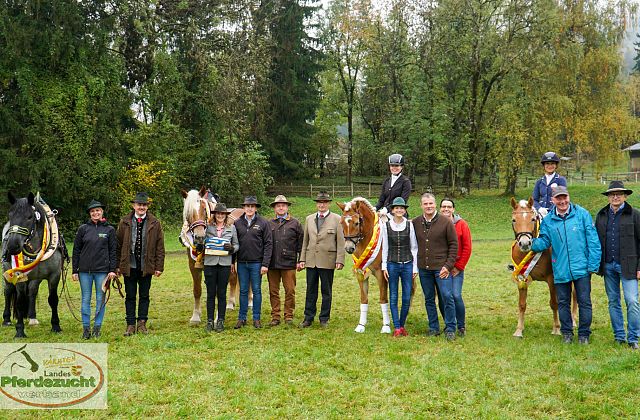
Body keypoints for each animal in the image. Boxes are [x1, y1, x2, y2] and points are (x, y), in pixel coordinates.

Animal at [1, 193, 64, 338]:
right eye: (10, 215)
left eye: (29, 217)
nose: (12, 246)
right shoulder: (19, 276)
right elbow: (19, 301)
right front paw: (19, 330)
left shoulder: (54, 275)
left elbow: (53, 299)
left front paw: (56, 326)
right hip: (8, 273)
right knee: (8, 291)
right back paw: (6, 319)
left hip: (36, 278)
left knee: (32, 291)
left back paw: (32, 317)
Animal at [182, 188, 248, 324]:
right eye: (188, 213)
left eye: (203, 210)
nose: (199, 237)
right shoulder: (193, 266)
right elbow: (197, 290)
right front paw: (195, 317)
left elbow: (218, 291)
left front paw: (217, 317)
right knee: (233, 278)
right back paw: (230, 304)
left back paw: (250, 302)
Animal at [338, 198, 392, 334]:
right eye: (341, 223)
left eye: (357, 223)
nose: (349, 248)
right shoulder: (361, 273)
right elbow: (364, 299)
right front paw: (361, 325)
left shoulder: (381, 274)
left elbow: (383, 298)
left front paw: (386, 326)